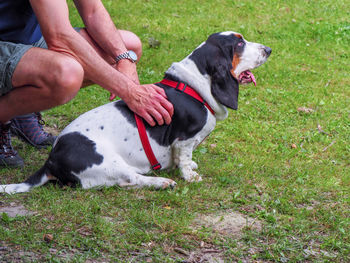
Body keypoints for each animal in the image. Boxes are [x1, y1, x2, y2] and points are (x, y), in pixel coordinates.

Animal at [0, 32, 270, 195]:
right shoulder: (184, 140)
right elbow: (183, 158)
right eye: (239, 44)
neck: (193, 84)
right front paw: (189, 175)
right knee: (132, 179)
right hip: (109, 162)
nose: (268, 49)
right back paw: (162, 182)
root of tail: (51, 160)